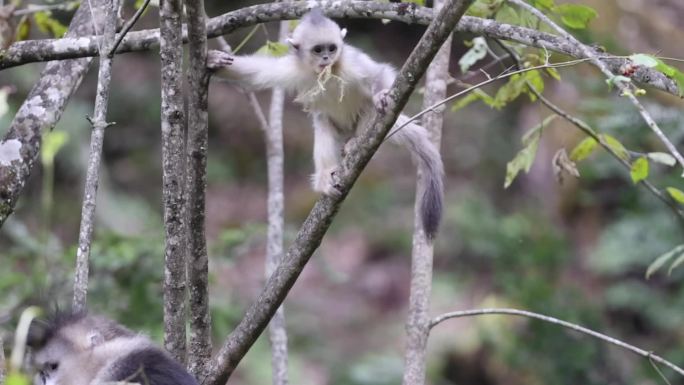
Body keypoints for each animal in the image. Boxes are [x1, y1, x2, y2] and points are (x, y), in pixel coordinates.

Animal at [207, 8, 444, 237]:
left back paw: (356, 142)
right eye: (318, 50)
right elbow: (253, 74)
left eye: (331, 48)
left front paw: (381, 96)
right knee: (322, 121)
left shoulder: (350, 60)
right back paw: (325, 177)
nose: (326, 58)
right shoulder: (293, 67)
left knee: (367, 107)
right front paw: (214, 61)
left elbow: (379, 73)